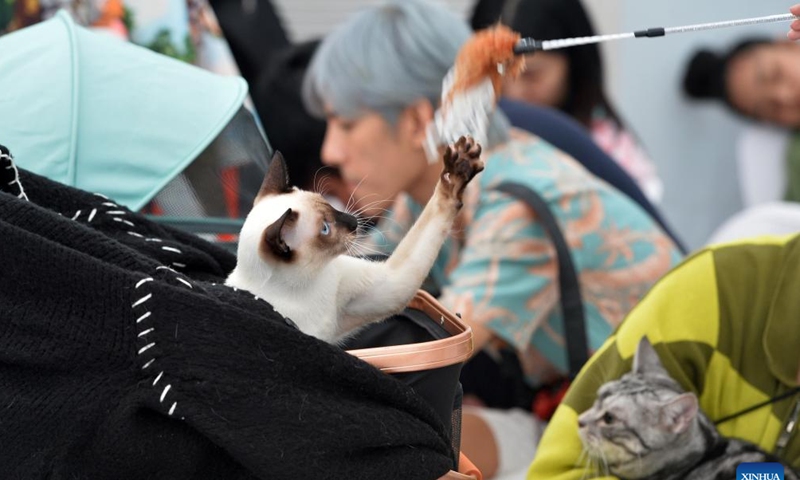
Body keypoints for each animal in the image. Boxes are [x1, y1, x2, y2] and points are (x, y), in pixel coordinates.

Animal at [225, 137, 482, 344]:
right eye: (325, 228)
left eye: (328, 203)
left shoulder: (383, 286)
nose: (353, 222)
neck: (307, 283)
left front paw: (460, 166)